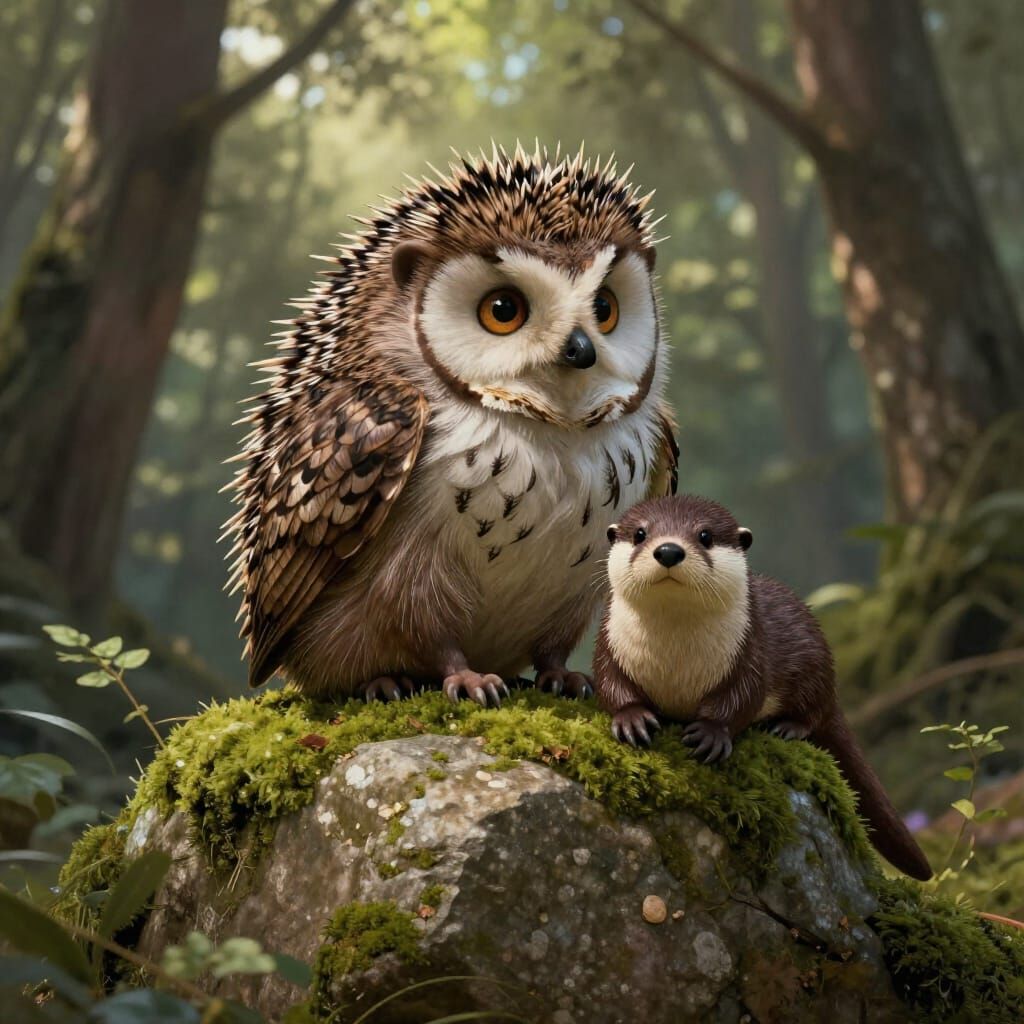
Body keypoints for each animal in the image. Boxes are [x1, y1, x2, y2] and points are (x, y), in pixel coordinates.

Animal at [593, 494, 932, 881]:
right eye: (640, 533)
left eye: (705, 535)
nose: (668, 550)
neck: (675, 661)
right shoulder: (608, 645)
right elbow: (611, 684)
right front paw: (632, 719)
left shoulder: (750, 654)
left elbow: (741, 699)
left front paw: (711, 733)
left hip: (815, 667)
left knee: (815, 712)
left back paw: (787, 727)